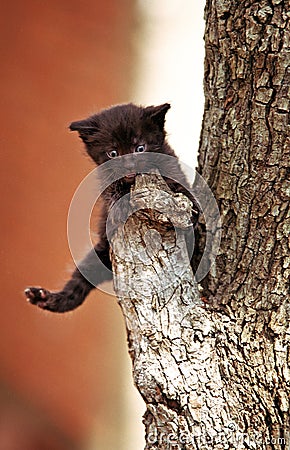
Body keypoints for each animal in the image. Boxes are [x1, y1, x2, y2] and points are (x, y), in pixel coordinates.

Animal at [24, 102, 199, 312]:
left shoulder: (171, 166)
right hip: (100, 252)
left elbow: (181, 189)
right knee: (78, 285)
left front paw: (192, 212)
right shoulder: (106, 180)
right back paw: (43, 297)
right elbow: (112, 192)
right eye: (113, 153)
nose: (129, 165)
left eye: (140, 147)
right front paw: (119, 207)